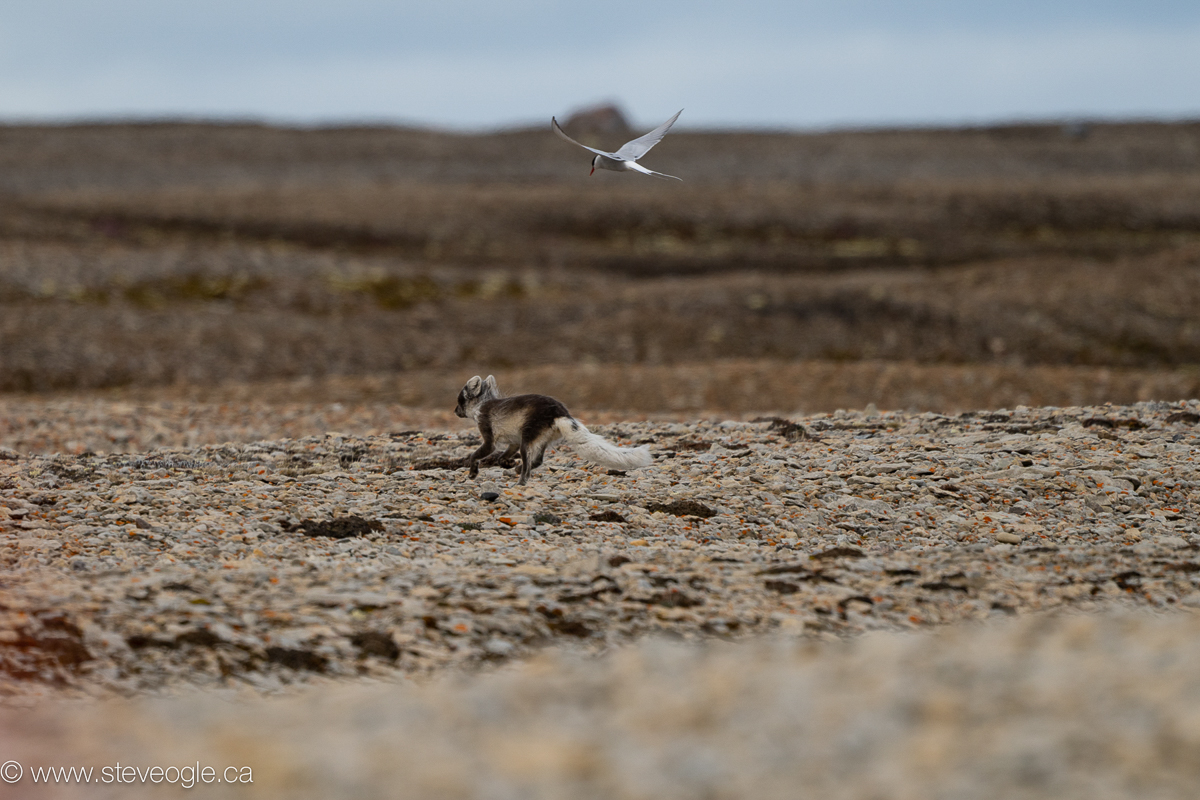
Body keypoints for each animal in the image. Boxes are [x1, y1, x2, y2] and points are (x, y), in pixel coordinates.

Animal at [454, 375, 653, 485]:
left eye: (460, 400)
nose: (455, 411)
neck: (481, 404)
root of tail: (560, 412)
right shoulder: (513, 442)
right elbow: (503, 455)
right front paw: (507, 463)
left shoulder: (490, 436)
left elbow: (478, 454)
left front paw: (473, 473)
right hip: (541, 438)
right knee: (537, 461)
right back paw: (517, 469)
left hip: (528, 437)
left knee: (529, 463)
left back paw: (521, 481)